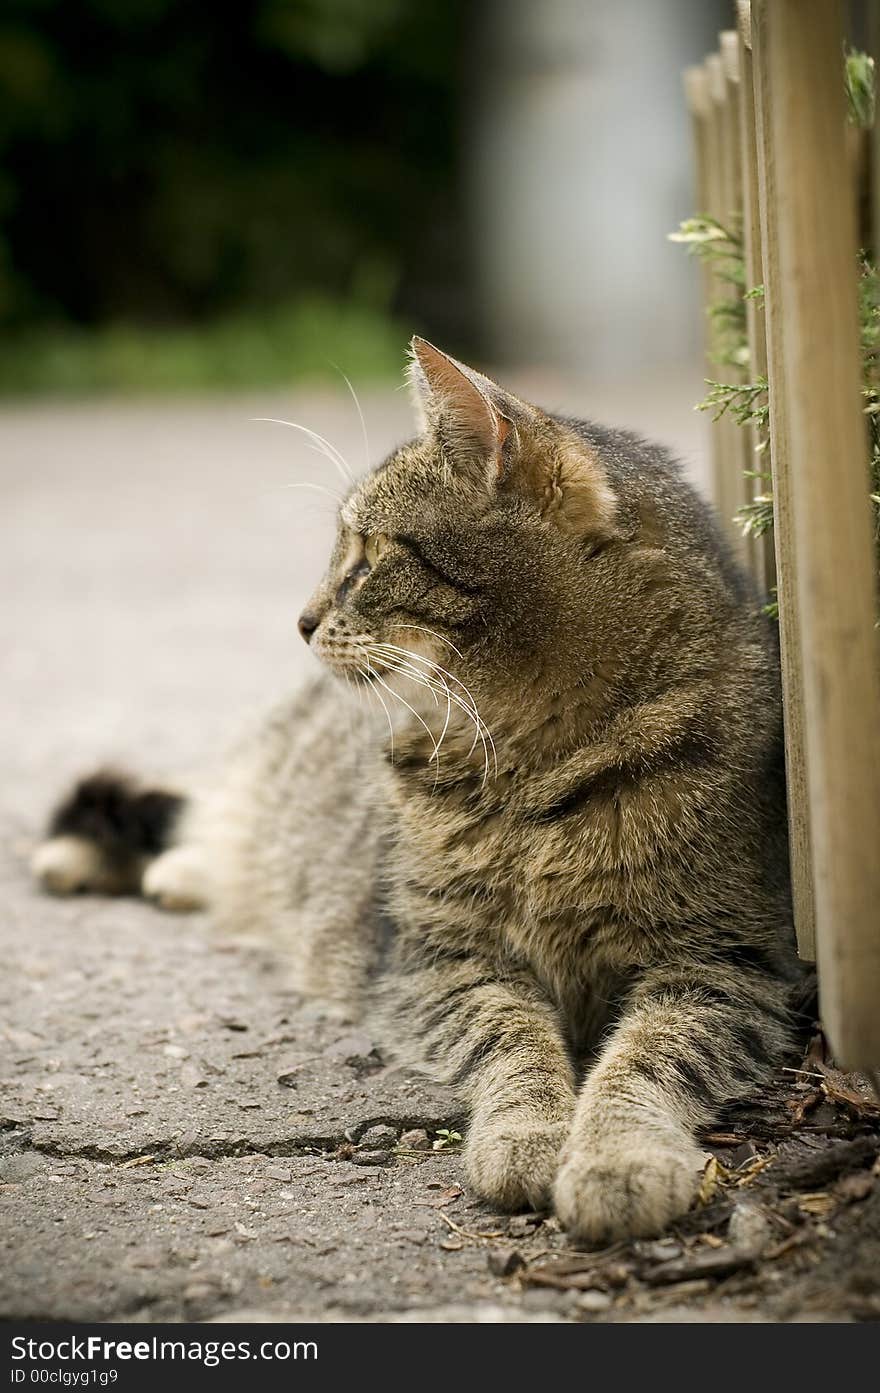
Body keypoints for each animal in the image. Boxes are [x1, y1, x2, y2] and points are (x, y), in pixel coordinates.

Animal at [32, 339, 796, 1242]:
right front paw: (531, 1136)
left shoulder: (726, 960)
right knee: (200, 810)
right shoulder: (435, 957)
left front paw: (617, 1156)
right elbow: (514, 1042)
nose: (301, 620)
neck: (533, 758)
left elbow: (646, 1058)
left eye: (366, 555)